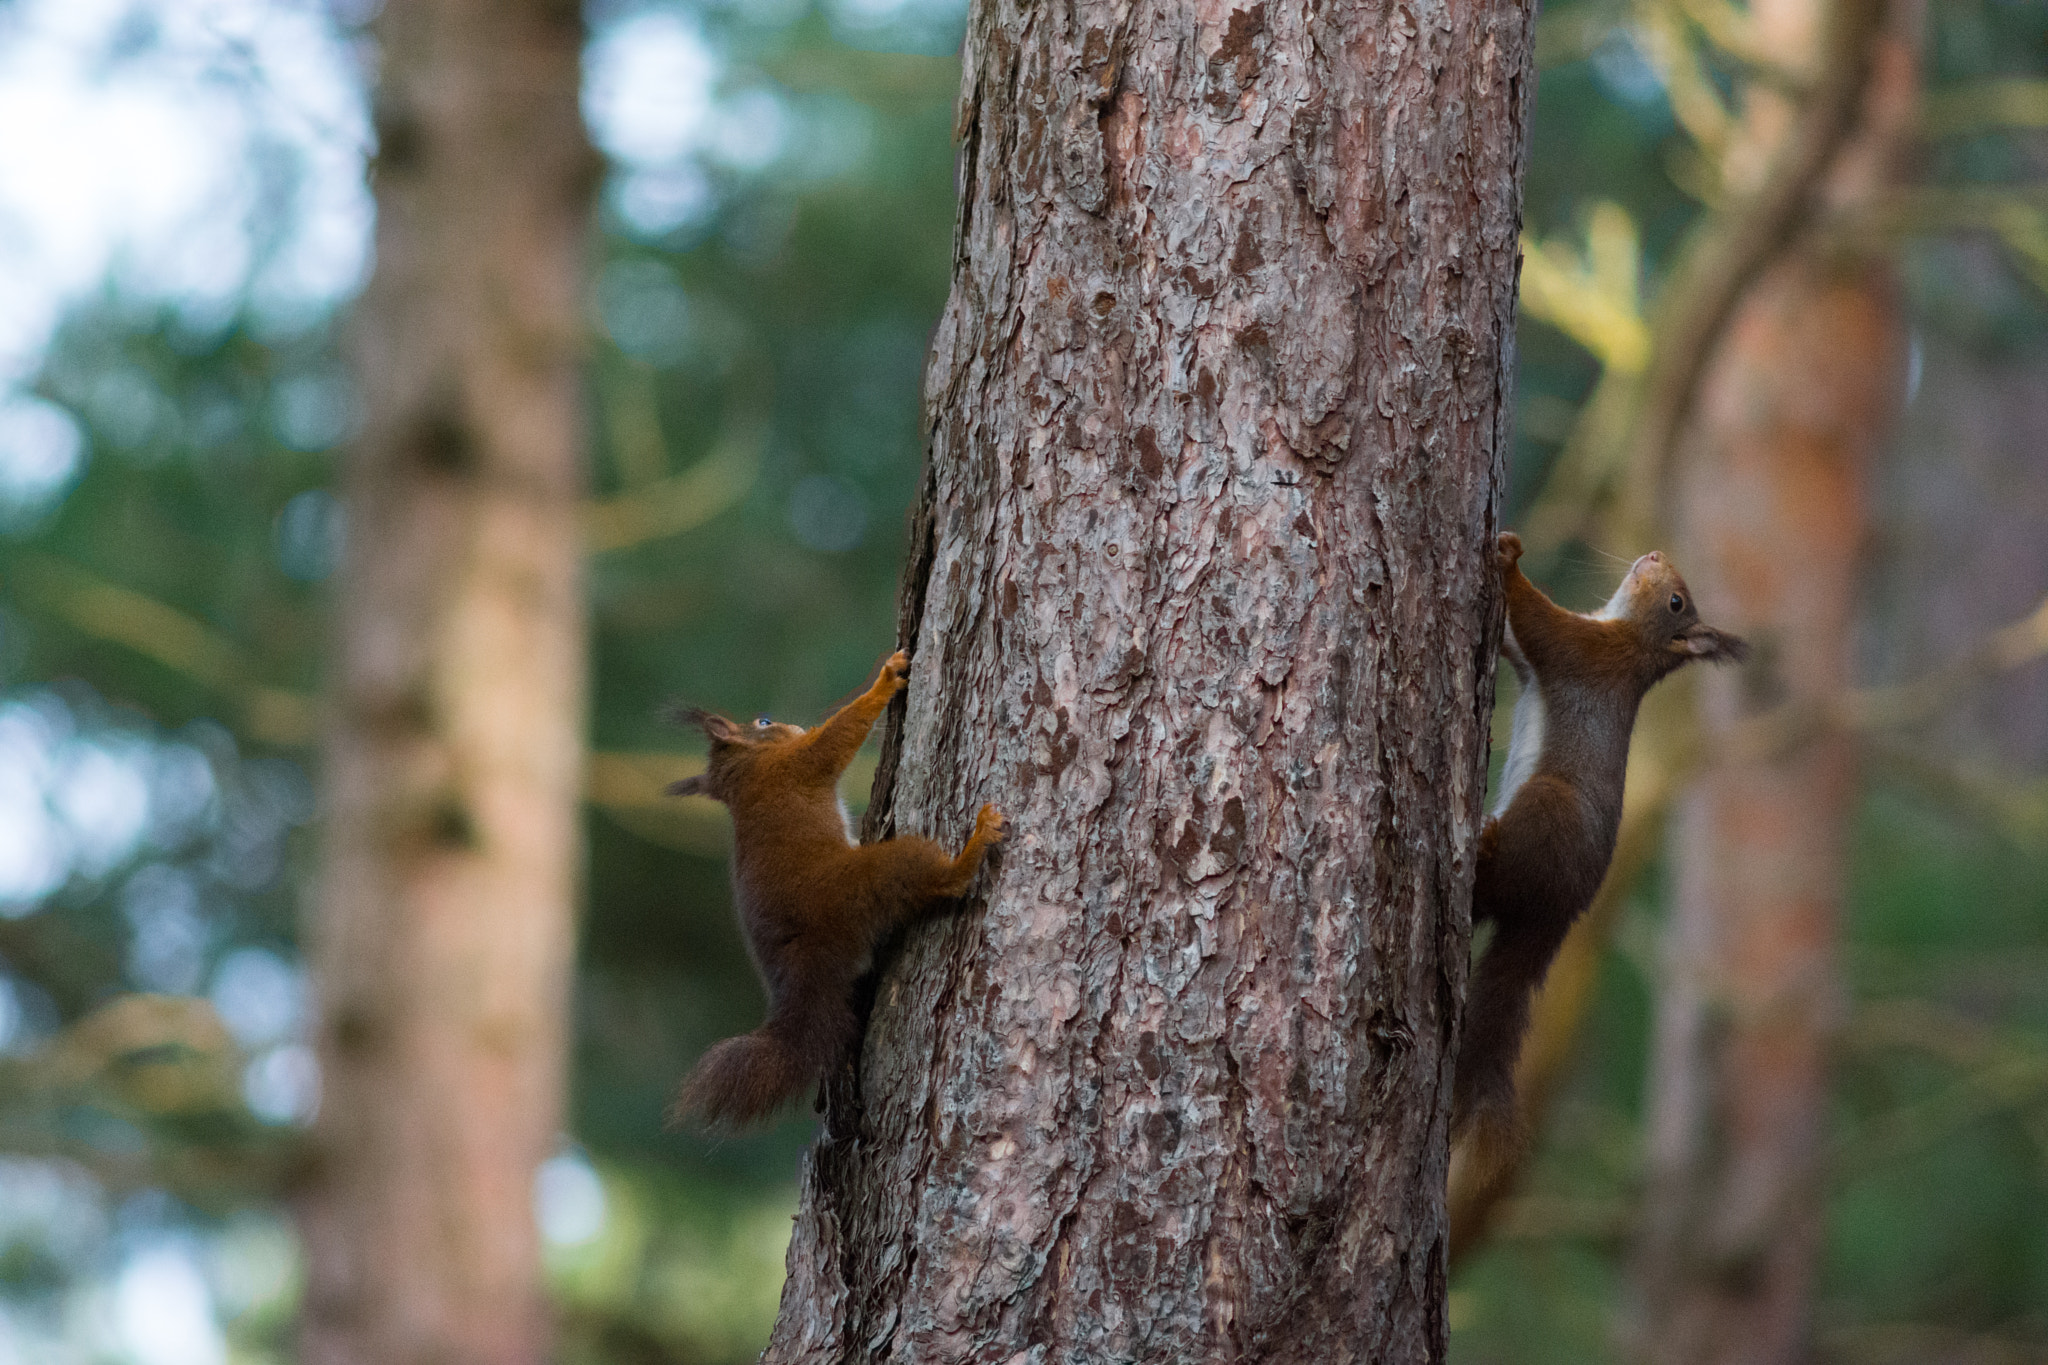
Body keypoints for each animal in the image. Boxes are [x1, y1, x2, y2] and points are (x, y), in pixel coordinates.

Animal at [663, 650, 1007, 1129]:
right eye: (765, 722)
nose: (792, 724)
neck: (746, 774)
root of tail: (803, 970)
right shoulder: (799, 763)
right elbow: (840, 734)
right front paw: (885, 679)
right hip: (867, 881)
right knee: (938, 878)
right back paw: (976, 841)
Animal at [1458, 532, 1744, 1162]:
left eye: (1677, 603)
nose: (1656, 555)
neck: (1629, 637)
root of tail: (1560, 912)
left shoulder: (1585, 652)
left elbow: (1539, 623)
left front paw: (1509, 557)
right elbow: (1516, 642)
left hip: (1550, 809)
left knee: (1491, 890)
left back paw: (1483, 846)